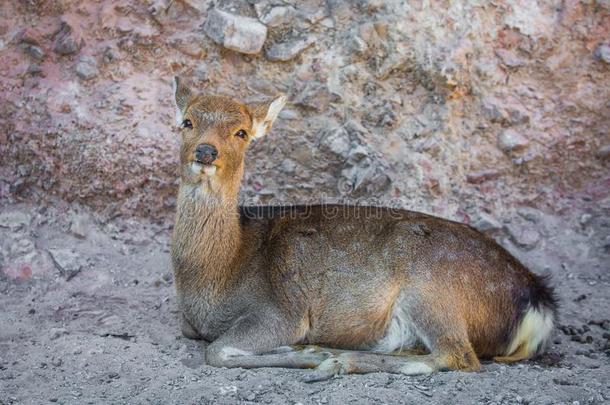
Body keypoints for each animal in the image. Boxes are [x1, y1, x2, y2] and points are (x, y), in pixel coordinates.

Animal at [169, 76, 552, 382]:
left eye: (242, 132)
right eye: (187, 121)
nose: (206, 151)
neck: (217, 275)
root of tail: (539, 301)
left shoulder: (281, 311)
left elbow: (217, 351)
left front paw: (309, 353)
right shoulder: (193, 322)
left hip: (433, 289)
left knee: (458, 355)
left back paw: (337, 360)